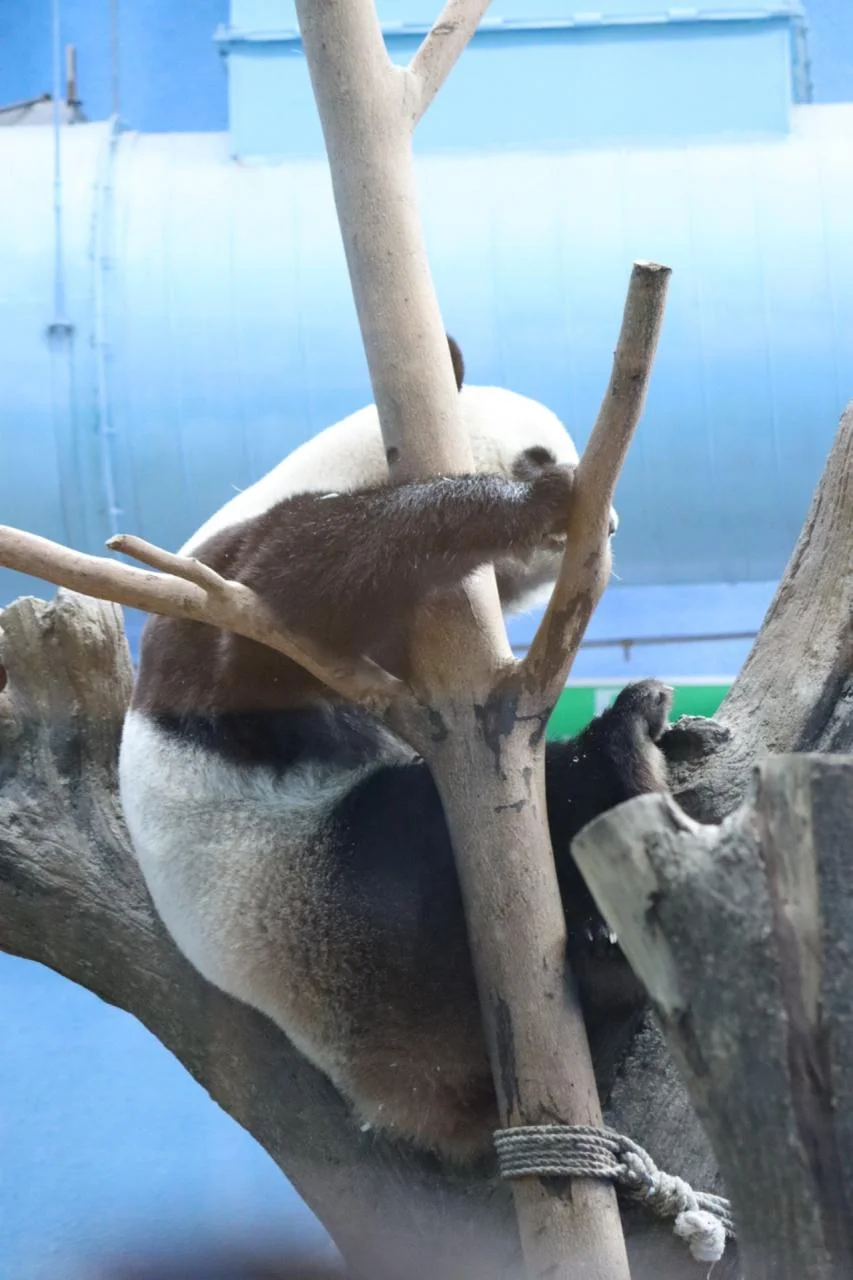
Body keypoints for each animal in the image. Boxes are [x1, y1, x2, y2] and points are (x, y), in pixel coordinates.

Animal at [119, 337, 670, 1161]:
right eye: (540, 453)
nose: (608, 524)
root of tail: (414, 1107)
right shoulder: (211, 588)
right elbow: (281, 604)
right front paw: (531, 506)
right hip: (332, 917)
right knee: (422, 828)